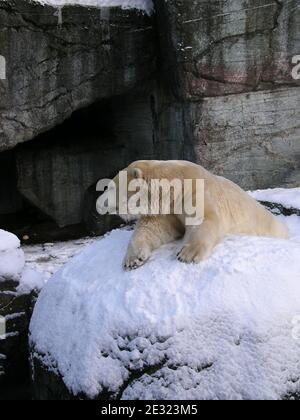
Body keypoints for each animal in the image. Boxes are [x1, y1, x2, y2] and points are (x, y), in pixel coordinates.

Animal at [98, 161, 288, 270]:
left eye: (110, 187)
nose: (100, 204)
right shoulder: (166, 208)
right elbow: (151, 229)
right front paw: (133, 259)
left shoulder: (196, 190)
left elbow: (205, 218)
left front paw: (187, 254)